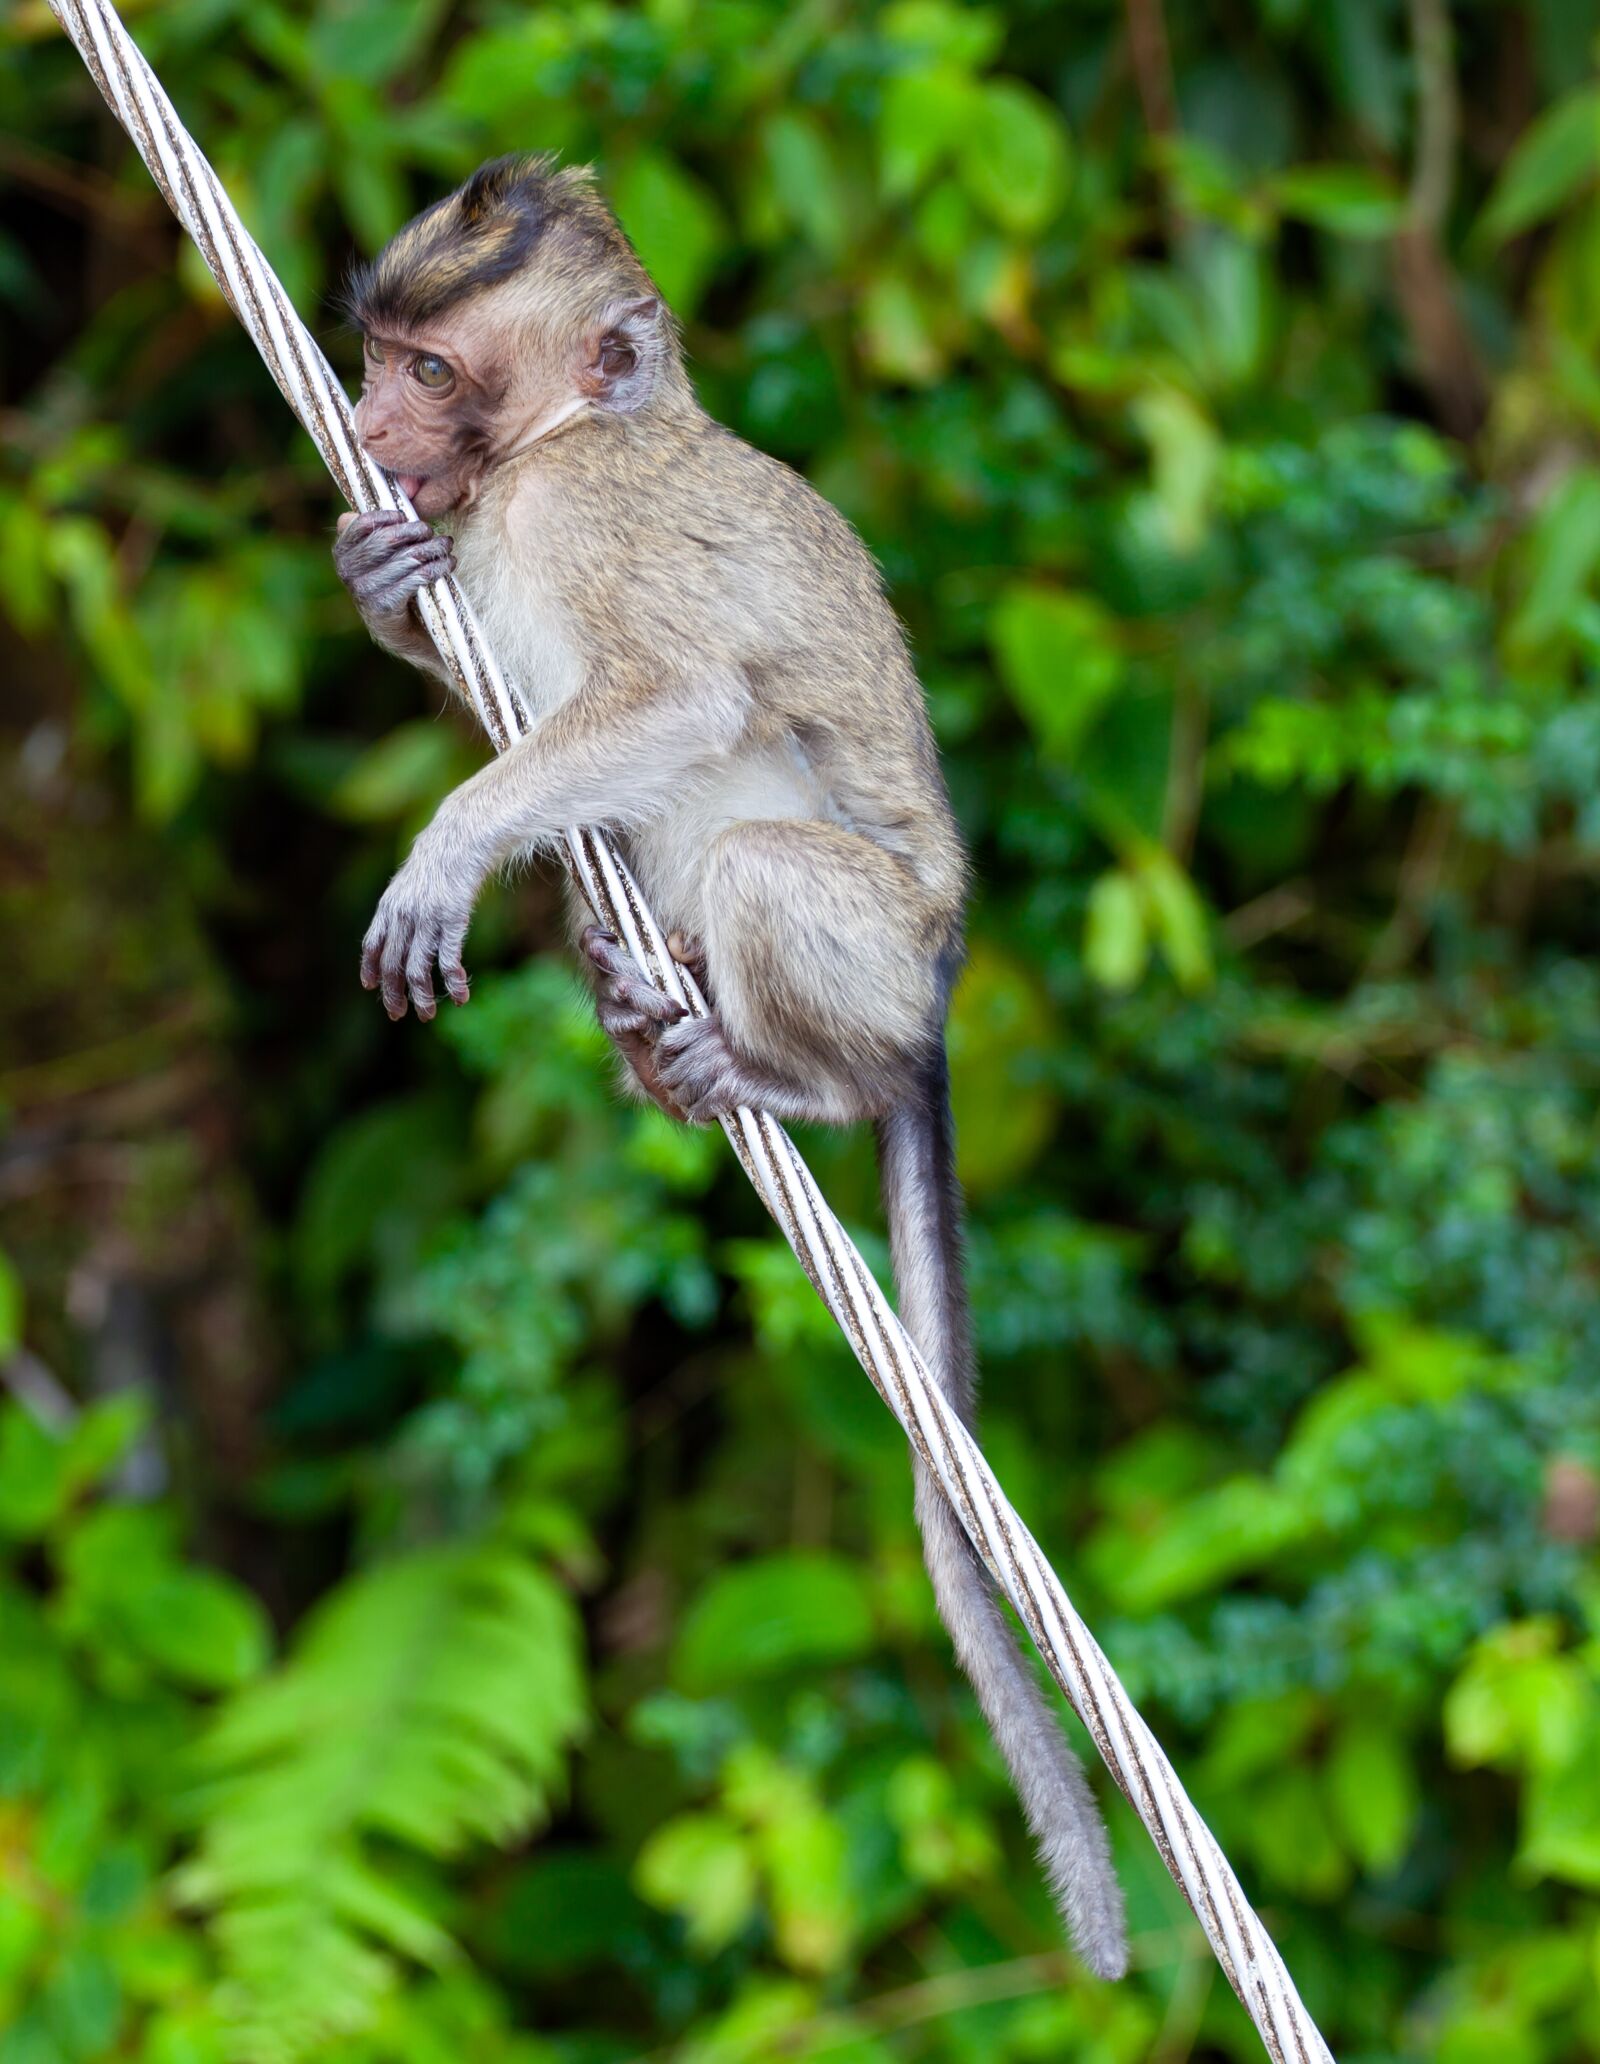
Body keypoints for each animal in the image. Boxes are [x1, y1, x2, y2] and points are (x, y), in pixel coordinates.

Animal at [340, 156, 1123, 1964]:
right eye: (384, 356)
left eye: (430, 370)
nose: (362, 417)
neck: (559, 441)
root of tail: (942, 979)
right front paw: (374, 575)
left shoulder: (584, 516)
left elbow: (678, 695)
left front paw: (443, 847)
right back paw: (648, 1016)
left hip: (881, 948)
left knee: (770, 864)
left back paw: (797, 1079)